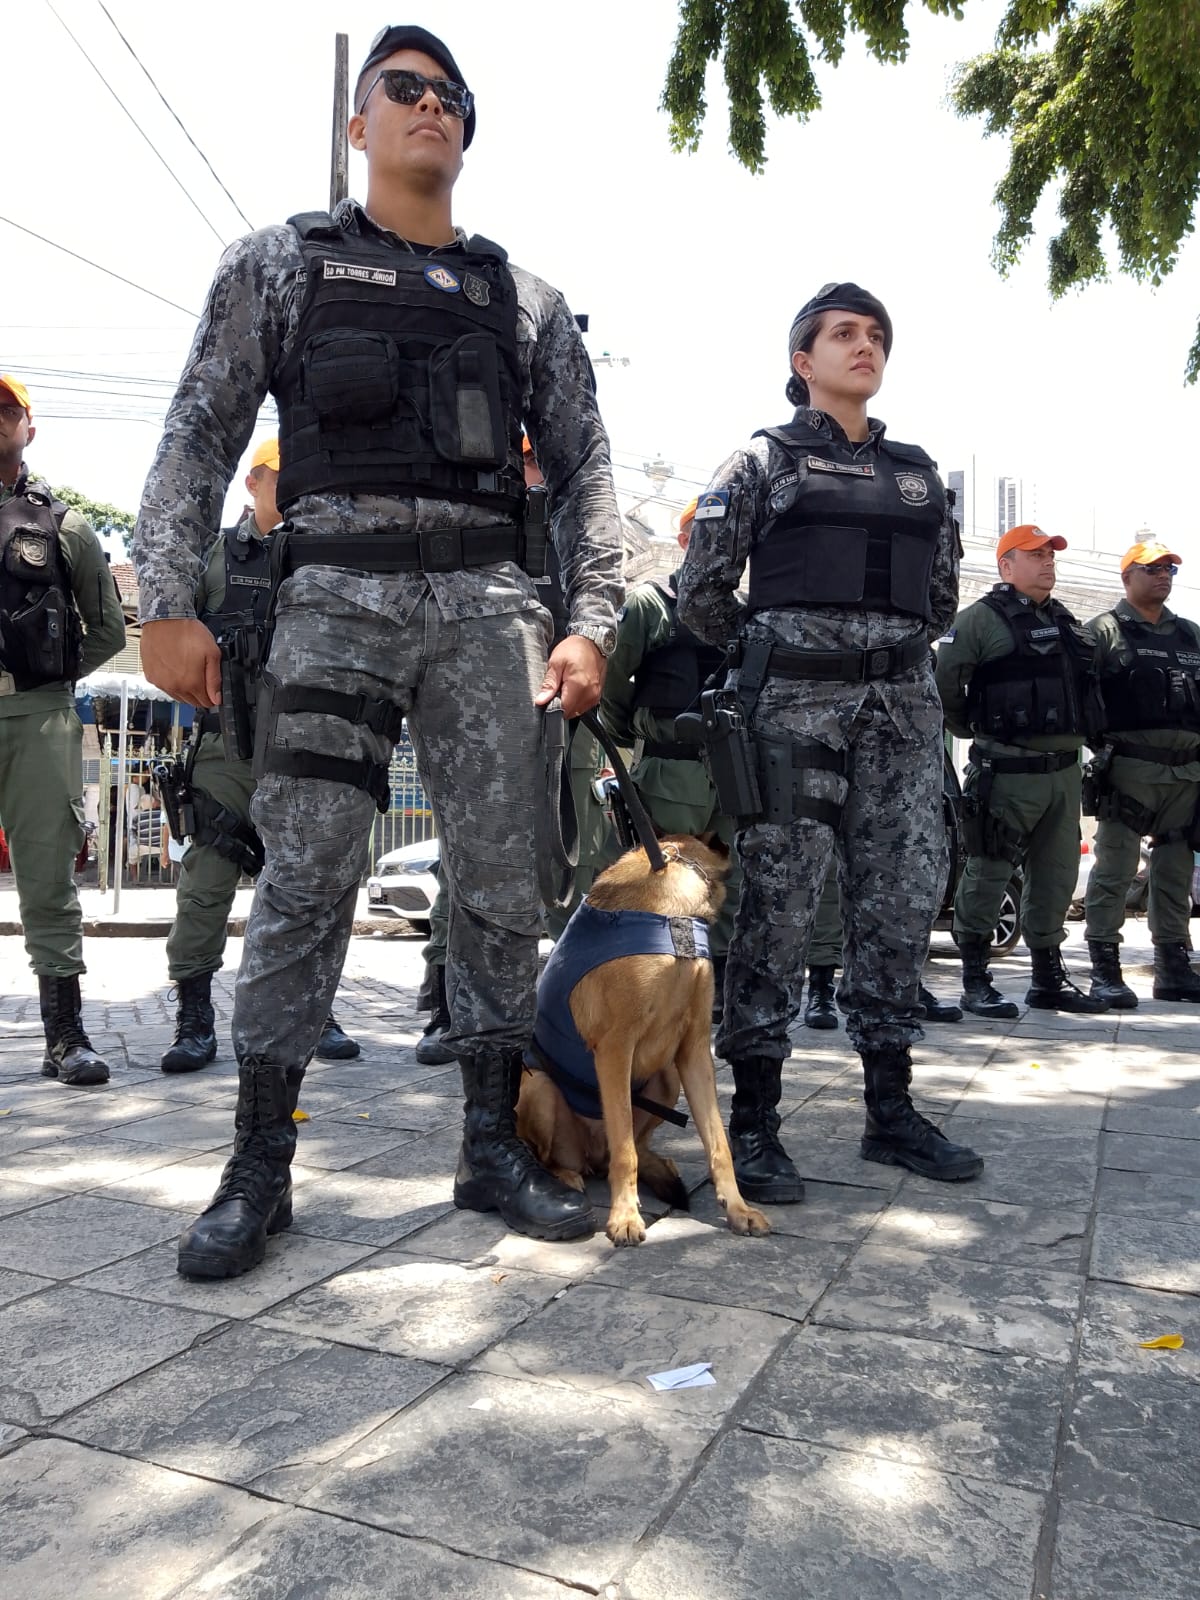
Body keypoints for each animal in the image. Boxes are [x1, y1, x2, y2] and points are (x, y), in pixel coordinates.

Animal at [518, 838, 771, 1248]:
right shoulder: (615, 1047)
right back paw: (566, 1179)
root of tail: (591, 1155)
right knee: (566, 1155)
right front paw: (624, 1217)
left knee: (634, 1147)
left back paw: (659, 1166)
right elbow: (625, 1152)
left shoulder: (694, 1049)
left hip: (668, 1078)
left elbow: (719, 1145)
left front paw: (738, 1209)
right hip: (538, 1086)